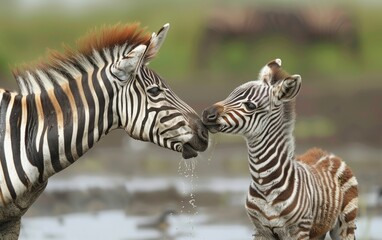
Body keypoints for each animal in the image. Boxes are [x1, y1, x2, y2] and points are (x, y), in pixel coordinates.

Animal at [203, 59, 358, 239]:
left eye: (250, 105)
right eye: (230, 95)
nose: (206, 114)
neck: (264, 183)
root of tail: (326, 153)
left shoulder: (299, 230)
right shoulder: (260, 230)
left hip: (345, 224)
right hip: (319, 230)